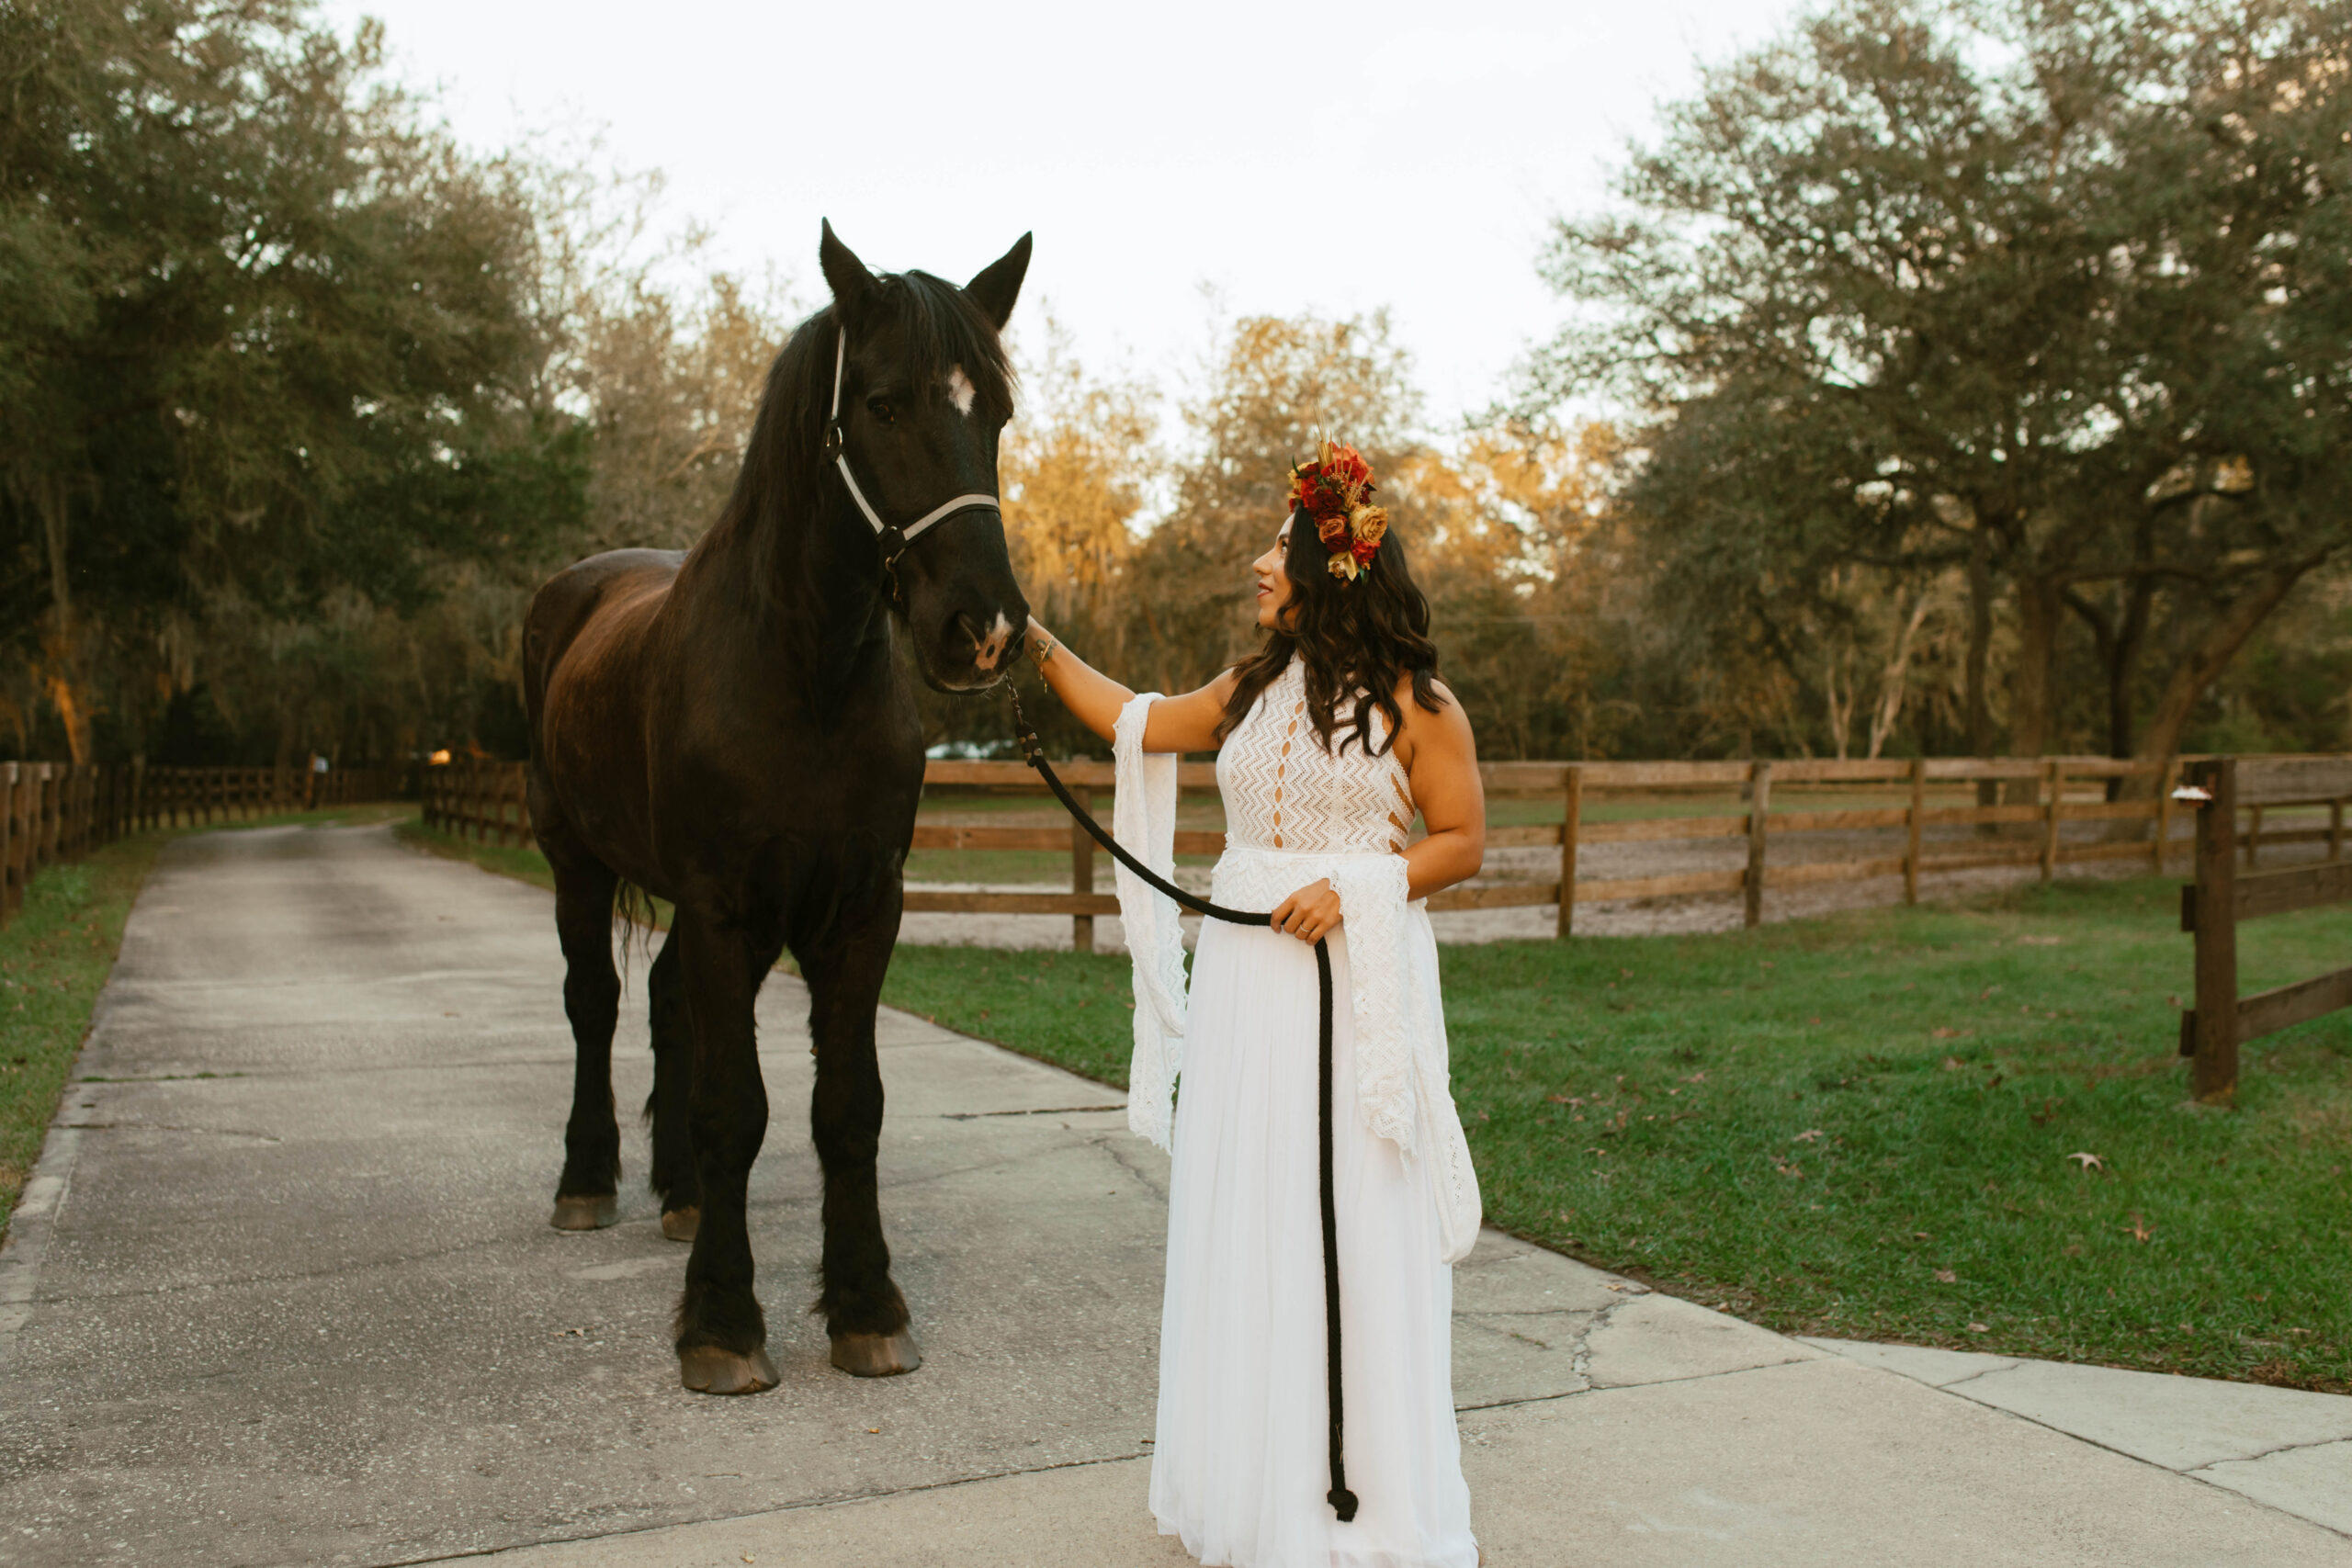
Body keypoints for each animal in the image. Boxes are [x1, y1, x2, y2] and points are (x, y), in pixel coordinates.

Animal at [524, 223, 1030, 1401]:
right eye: (883, 403)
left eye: (993, 411)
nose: (982, 629)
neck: (802, 673)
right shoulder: (724, 906)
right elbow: (736, 1106)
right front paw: (721, 1323)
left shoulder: (859, 908)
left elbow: (846, 1108)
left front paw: (867, 1308)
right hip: (576, 862)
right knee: (594, 1005)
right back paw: (589, 1181)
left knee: (666, 1006)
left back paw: (678, 1195)